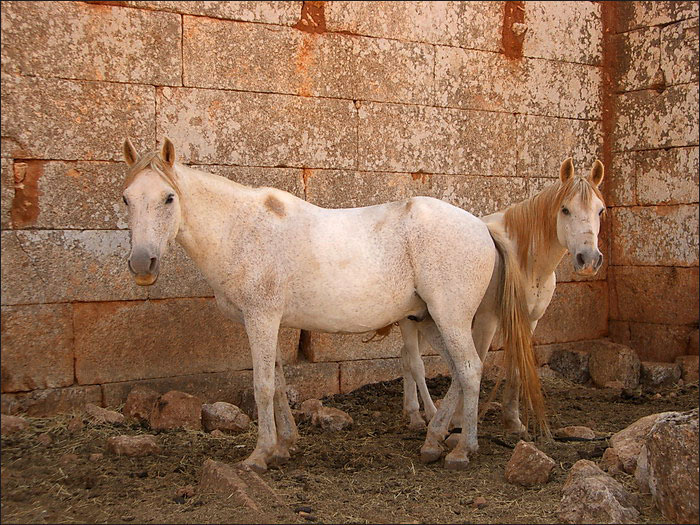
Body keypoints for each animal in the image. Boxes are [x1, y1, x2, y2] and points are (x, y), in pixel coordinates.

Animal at [121, 137, 545, 472]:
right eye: (126, 199)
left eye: (169, 198)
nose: (142, 264)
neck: (242, 230)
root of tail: (482, 226)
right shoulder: (269, 322)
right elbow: (278, 383)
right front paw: (284, 445)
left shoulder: (260, 318)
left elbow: (262, 385)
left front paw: (259, 455)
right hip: (432, 320)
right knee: (461, 370)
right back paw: (435, 438)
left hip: (449, 317)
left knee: (470, 369)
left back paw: (461, 450)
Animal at [399, 157, 605, 443]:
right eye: (565, 209)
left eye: (600, 211)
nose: (589, 260)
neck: (524, 260)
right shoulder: (487, 320)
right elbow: (476, 361)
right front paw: (460, 420)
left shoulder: (529, 320)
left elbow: (517, 368)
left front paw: (513, 421)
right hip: (412, 321)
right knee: (414, 361)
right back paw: (422, 416)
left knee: (406, 358)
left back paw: (414, 415)